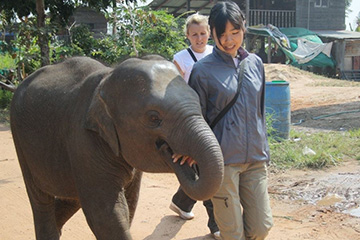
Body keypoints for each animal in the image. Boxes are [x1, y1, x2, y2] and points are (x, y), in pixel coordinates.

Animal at [11, 55, 224, 239]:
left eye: (199, 103)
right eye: (154, 118)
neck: (107, 79)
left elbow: (130, 203)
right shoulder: (84, 139)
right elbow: (106, 214)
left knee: (72, 197)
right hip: (20, 138)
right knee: (40, 199)